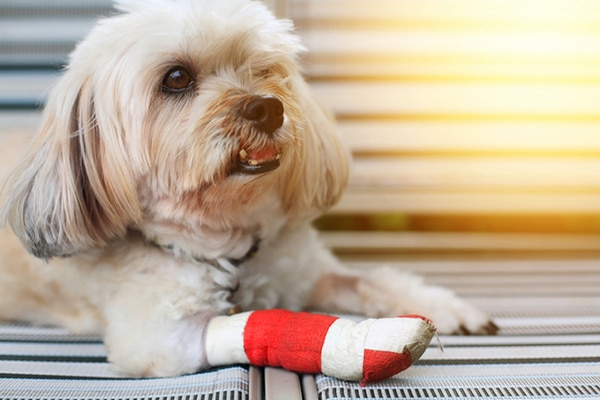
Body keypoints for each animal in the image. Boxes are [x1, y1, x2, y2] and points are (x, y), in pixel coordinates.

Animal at [0, 0, 496, 378]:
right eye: (176, 78)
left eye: (265, 69)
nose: (268, 107)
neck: (226, 243)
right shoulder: (163, 338)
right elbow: (251, 324)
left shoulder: (308, 270)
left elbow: (371, 279)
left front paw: (446, 309)